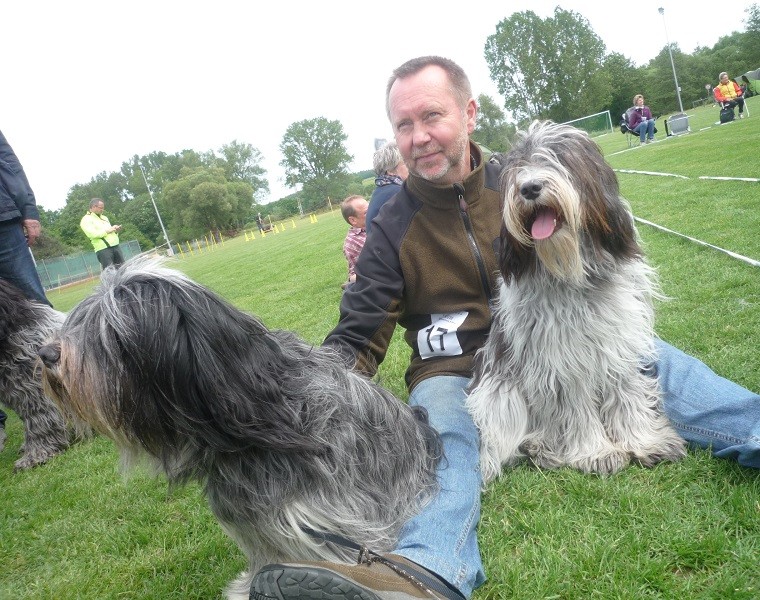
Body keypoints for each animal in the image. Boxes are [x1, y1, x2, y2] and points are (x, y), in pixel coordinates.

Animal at [466, 119, 684, 480]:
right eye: (518, 167)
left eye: (560, 158)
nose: (529, 188)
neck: (573, 275)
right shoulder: (560, 360)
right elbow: (575, 408)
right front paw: (596, 452)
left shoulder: (617, 343)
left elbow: (626, 393)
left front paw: (644, 441)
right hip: (500, 393)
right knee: (511, 441)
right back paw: (540, 447)